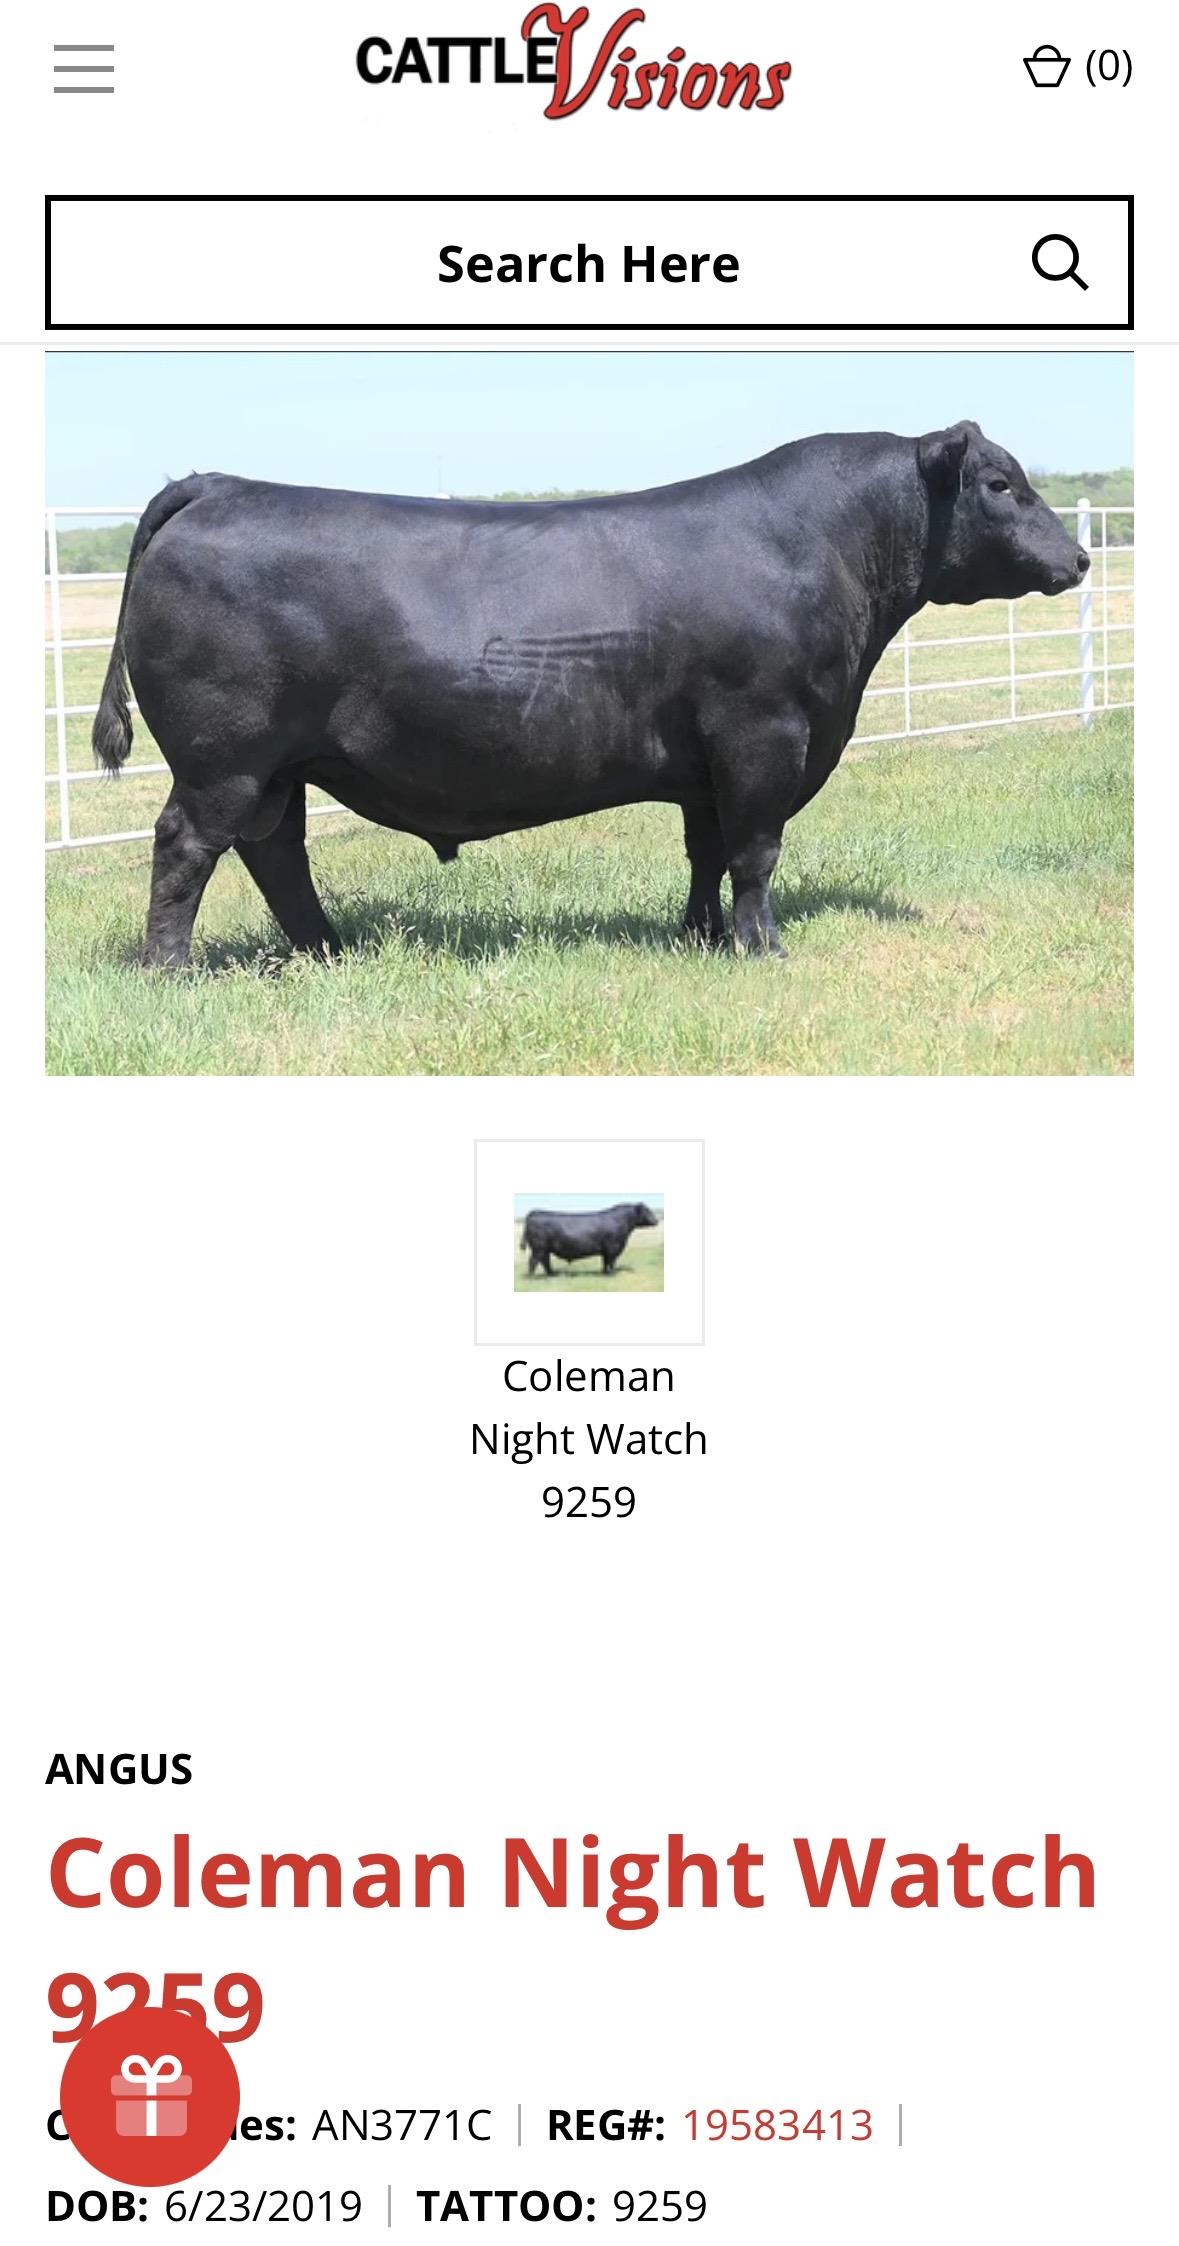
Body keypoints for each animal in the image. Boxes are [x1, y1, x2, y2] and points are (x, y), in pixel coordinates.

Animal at [91, 422, 1089, 968]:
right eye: (999, 484)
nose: (1078, 557)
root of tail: (217, 484)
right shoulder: (763, 733)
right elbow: (755, 852)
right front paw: (761, 947)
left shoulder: (705, 761)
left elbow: (705, 852)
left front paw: (699, 938)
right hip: (225, 756)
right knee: (187, 847)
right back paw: (170, 970)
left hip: (279, 766)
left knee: (275, 853)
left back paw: (329, 951)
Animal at [522, 1203, 659, 1277]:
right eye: (647, 1210)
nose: (656, 1220)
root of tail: (534, 1212)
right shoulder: (613, 1247)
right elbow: (612, 1261)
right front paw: (612, 1275)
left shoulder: (606, 1249)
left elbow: (605, 1261)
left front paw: (604, 1273)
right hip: (538, 1247)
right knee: (533, 1261)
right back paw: (532, 1278)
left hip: (544, 1249)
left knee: (545, 1261)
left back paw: (551, 1274)